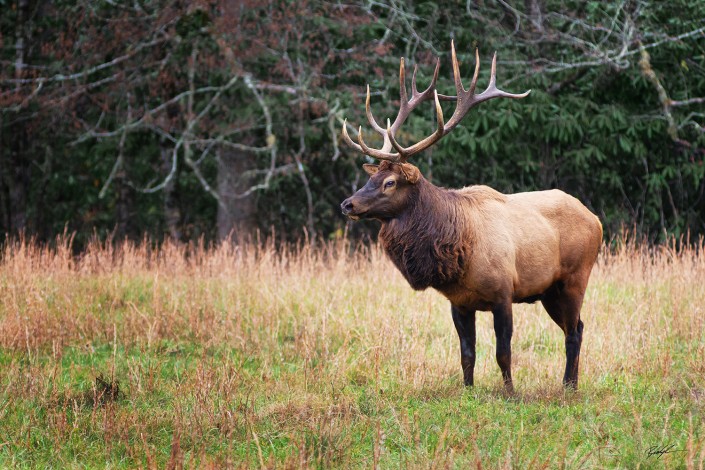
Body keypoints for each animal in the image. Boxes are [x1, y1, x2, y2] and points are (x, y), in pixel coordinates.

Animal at [340, 42, 600, 392]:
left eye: (389, 182)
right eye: (372, 178)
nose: (348, 204)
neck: (459, 251)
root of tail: (596, 220)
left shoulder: (504, 294)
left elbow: (503, 353)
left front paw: (510, 392)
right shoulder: (459, 302)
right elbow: (467, 353)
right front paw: (468, 391)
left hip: (575, 278)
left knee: (574, 331)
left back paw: (568, 387)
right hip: (548, 291)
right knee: (579, 327)